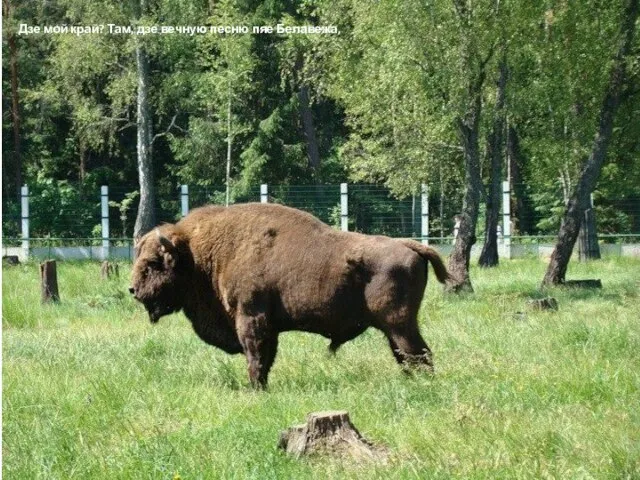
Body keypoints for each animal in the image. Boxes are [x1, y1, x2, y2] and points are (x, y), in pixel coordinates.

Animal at [130, 202, 450, 386]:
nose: (133, 289)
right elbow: (266, 358)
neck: (197, 254)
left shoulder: (251, 319)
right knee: (407, 356)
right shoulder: (268, 327)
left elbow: (256, 357)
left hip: (399, 323)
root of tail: (410, 245)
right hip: (393, 327)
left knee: (419, 354)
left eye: (154, 262)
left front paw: (256, 389)